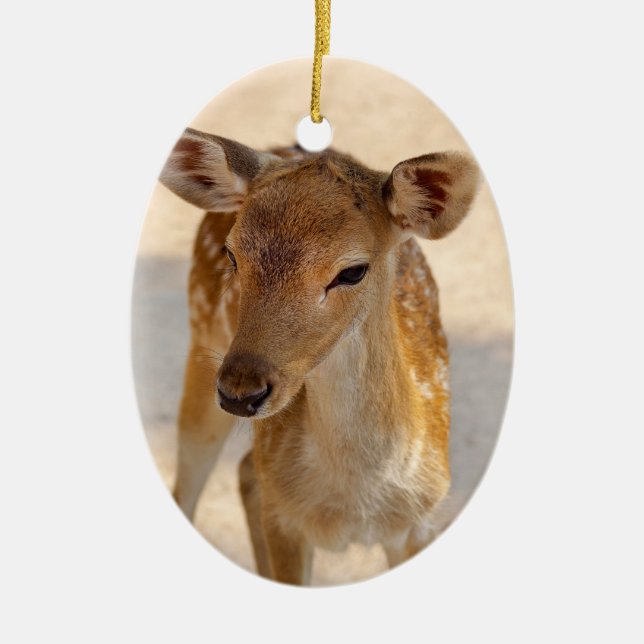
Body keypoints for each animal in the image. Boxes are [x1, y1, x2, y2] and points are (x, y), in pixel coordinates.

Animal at [159, 127, 480, 585]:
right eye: (231, 254)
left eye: (352, 271)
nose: (240, 391)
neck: (354, 503)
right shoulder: (285, 521)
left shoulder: (421, 520)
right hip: (201, 340)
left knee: (245, 470)